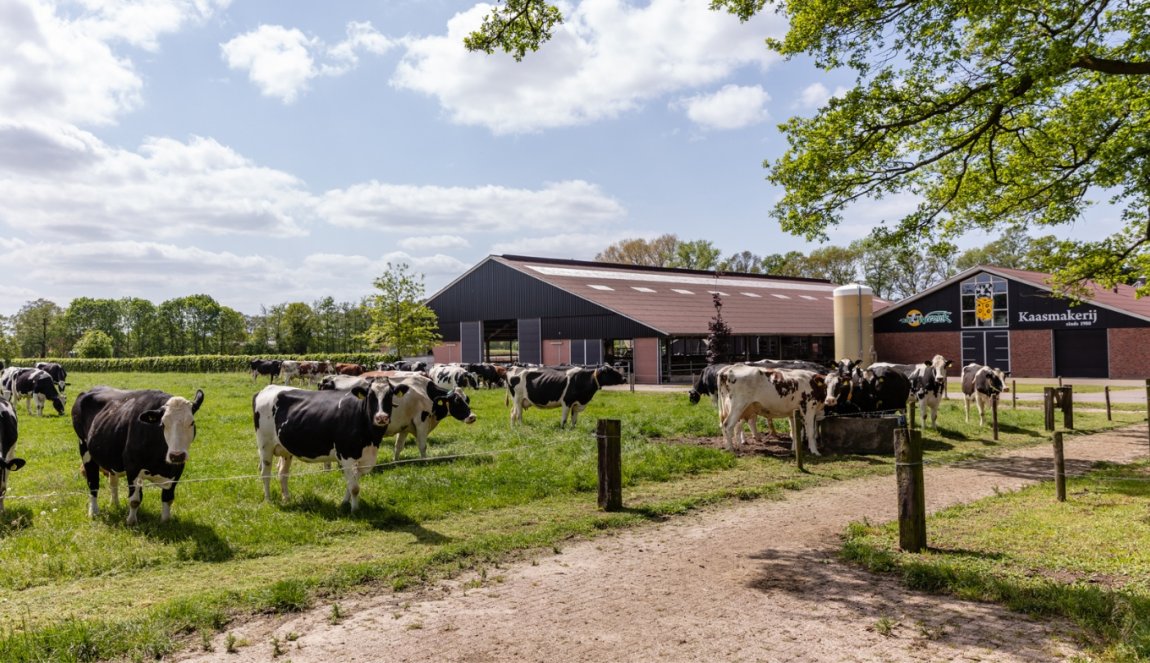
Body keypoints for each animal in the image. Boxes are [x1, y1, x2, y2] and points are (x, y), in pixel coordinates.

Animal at [70, 388, 205, 521]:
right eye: (163, 424)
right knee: (93, 483)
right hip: (84, 449)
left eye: (192, 423)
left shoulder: (177, 469)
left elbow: (168, 499)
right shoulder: (132, 467)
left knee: (113, 482)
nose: (176, 455)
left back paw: (115, 504)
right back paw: (93, 512)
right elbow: (134, 500)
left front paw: (165, 521)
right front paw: (131, 522)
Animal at [253, 376, 409, 512]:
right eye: (370, 396)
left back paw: (286, 498)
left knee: (282, 473)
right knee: (265, 473)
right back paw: (268, 500)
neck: (371, 439)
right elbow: (354, 487)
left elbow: (352, 483)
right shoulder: (346, 455)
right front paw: (355, 510)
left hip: (286, 449)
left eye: (390, 395)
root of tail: (267, 389)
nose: (381, 417)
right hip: (265, 445)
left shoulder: (365, 458)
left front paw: (345, 503)